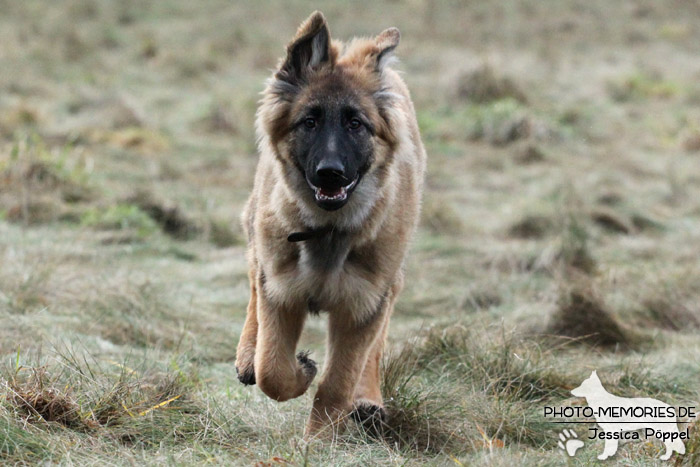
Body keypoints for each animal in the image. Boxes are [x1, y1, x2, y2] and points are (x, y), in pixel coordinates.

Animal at [235, 9, 426, 436]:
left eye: (356, 124)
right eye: (309, 121)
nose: (330, 174)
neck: (328, 229)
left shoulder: (364, 303)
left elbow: (339, 383)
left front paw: (319, 440)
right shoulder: (281, 290)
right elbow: (272, 369)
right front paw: (298, 370)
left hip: (389, 280)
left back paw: (369, 400)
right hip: (259, 234)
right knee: (253, 281)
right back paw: (246, 355)